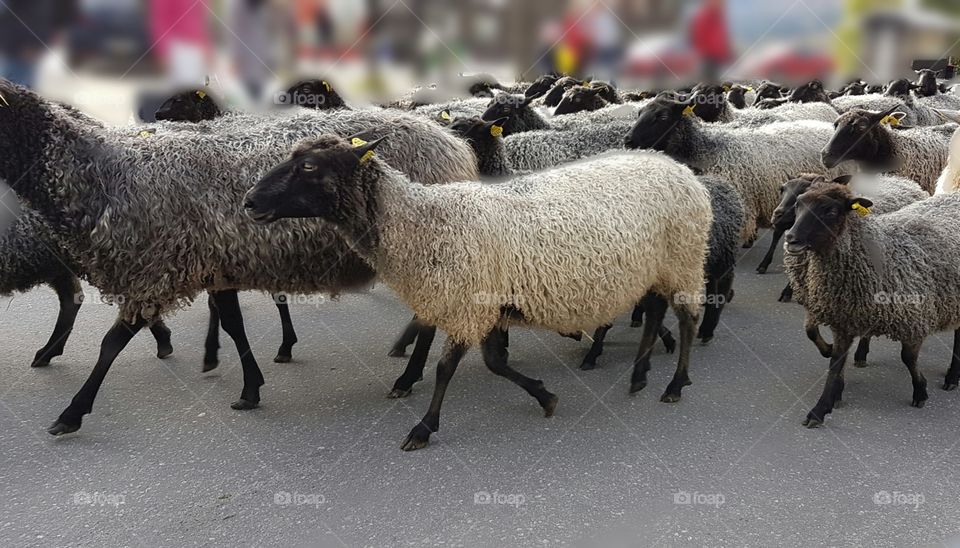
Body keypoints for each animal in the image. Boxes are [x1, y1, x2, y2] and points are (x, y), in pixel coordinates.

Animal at [246, 137, 713, 450]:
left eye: (309, 167)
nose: (249, 201)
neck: (421, 222)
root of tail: (678, 168)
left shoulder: (466, 304)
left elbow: (445, 370)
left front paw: (423, 428)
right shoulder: (484, 305)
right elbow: (495, 363)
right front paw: (545, 396)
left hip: (684, 258)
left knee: (687, 318)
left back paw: (675, 383)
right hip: (657, 267)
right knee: (654, 312)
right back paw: (639, 375)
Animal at [782, 183, 960, 427]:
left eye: (830, 210)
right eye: (798, 205)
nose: (791, 238)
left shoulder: (915, 318)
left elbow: (908, 357)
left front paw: (920, 390)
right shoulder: (843, 320)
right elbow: (835, 361)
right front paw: (821, 408)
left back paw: (953, 376)